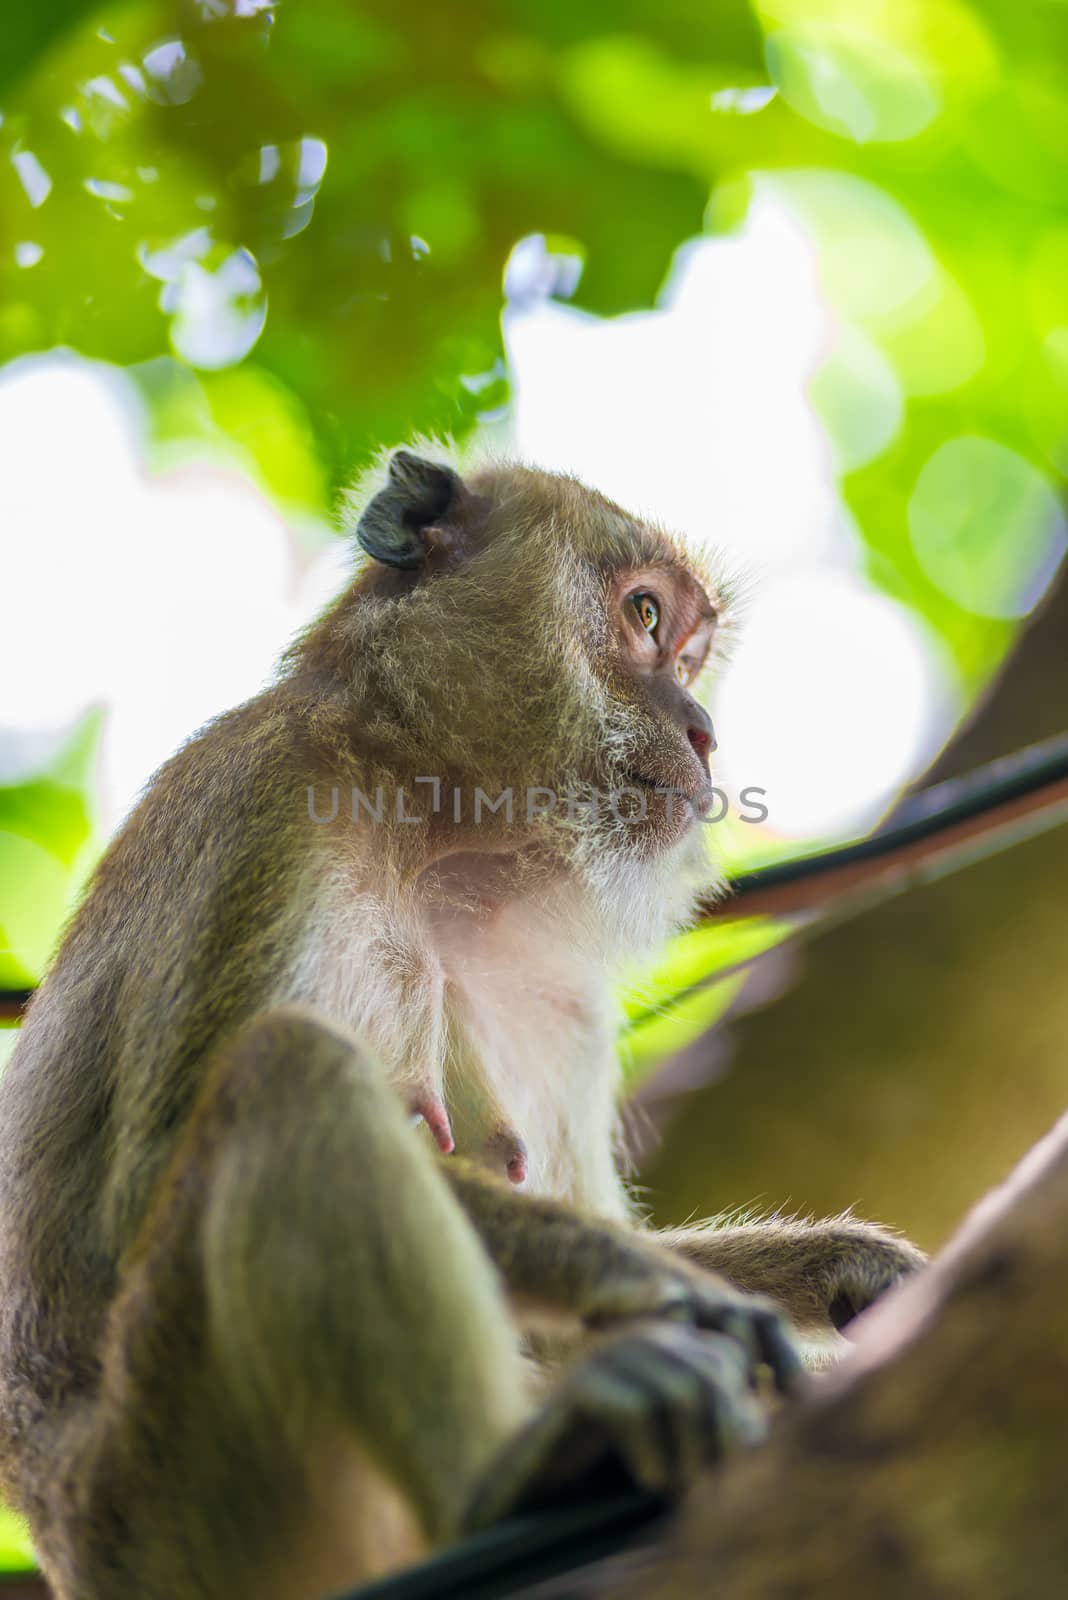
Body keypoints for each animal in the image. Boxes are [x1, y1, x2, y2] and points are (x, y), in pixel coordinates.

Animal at [0, 451, 920, 1600]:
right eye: (645, 615)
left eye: (691, 655)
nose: (704, 733)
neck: (428, 827)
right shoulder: (263, 809)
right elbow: (140, 1196)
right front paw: (654, 1282)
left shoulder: (554, 993)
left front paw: (846, 1269)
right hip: (177, 1501)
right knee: (288, 1076)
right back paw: (508, 1476)